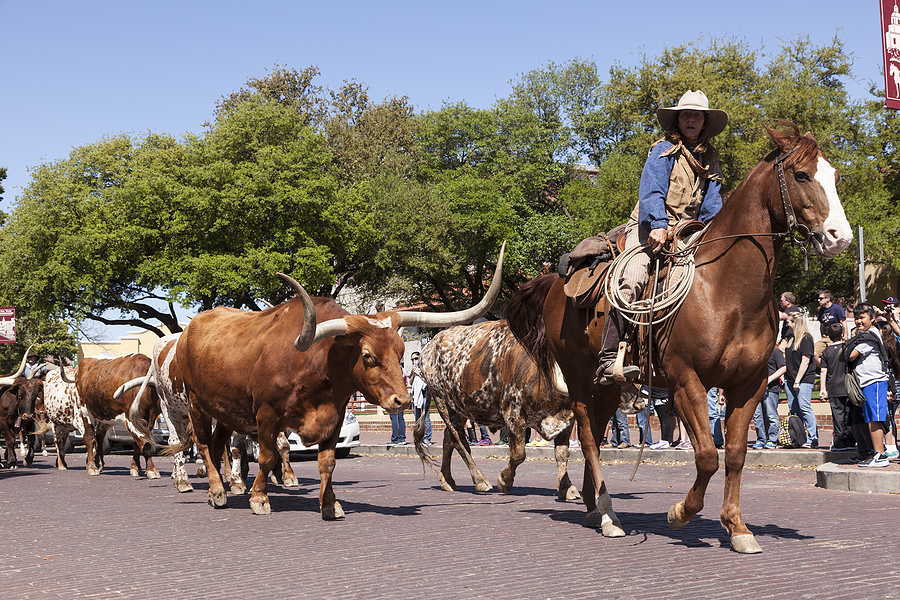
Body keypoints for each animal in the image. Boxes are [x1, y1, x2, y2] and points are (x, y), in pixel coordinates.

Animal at [142, 248, 504, 519]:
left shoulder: (334, 416)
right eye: (368, 356)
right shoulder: (266, 416)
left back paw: (224, 489)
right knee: (203, 444)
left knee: (218, 446)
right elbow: (268, 457)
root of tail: (189, 329)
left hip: (227, 411)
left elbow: (327, 461)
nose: (401, 402)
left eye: (402, 353)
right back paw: (217, 491)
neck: (317, 366)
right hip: (195, 403)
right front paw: (260, 499)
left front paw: (330, 505)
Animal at [414, 319, 580, 500]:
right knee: (459, 440)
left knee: (448, 438)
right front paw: (504, 481)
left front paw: (567, 487)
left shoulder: (566, 419)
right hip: (443, 401)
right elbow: (518, 454)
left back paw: (447, 480)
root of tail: (432, 344)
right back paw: (480, 481)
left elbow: (562, 453)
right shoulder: (513, 413)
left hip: (460, 407)